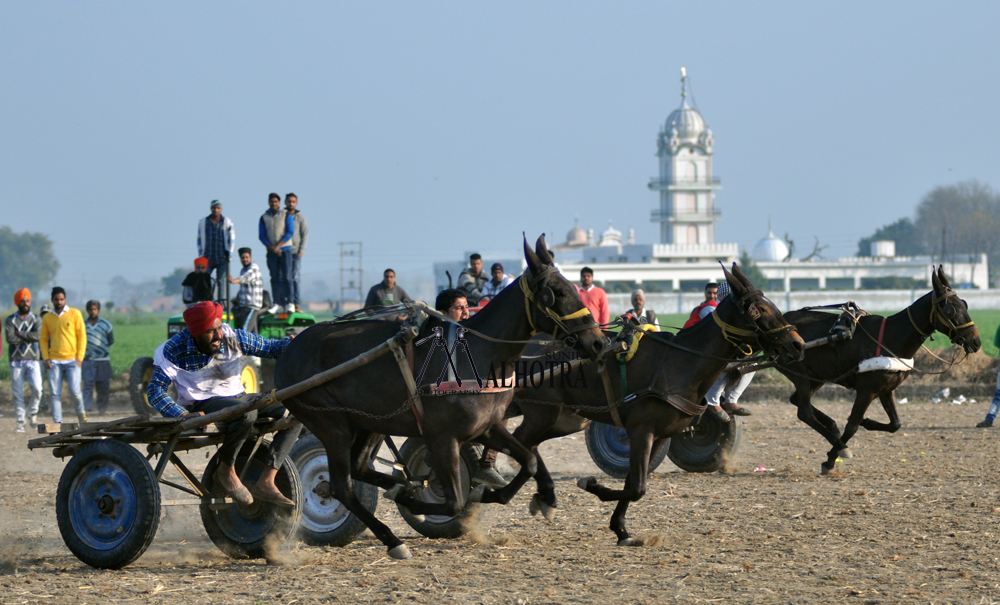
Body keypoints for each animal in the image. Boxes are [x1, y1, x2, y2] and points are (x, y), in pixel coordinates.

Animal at [272, 234, 608, 560]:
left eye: (573, 287)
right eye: (557, 292)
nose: (598, 342)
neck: (476, 356)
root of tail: (289, 348)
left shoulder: (487, 427)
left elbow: (530, 461)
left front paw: (536, 496)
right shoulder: (442, 437)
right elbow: (455, 502)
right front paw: (427, 501)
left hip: (372, 422)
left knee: (360, 468)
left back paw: (401, 488)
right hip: (332, 424)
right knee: (342, 487)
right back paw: (392, 536)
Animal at [508, 262, 804, 544]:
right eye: (760, 309)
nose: (797, 344)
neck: (681, 362)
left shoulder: (661, 435)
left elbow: (633, 484)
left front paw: (620, 528)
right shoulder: (641, 430)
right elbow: (637, 487)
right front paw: (591, 485)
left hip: (563, 419)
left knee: (525, 445)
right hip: (542, 413)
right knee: (518, 442)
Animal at [776, 266, 980, 474]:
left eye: (964, 304)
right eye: (950, 309)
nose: (975, 341)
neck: (891, 338)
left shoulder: (886, 389)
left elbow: (895, 424)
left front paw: (867, 422)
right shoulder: (866, 390)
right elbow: (852, 426)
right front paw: (831, 458)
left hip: (818, 376)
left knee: (798, 401)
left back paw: (832, 427)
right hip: (799, 372)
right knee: (804, 412)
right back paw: (838, 443)